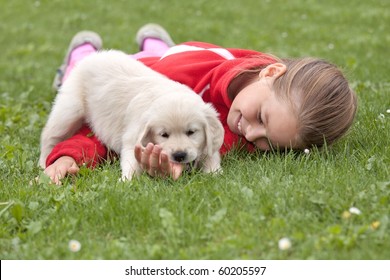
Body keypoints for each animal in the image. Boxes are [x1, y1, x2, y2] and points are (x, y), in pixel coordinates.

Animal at [39, 50, 224, 180]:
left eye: (191, 132)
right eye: (164, 134)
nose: (179, 155)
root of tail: (92, 57)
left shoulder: (209, 144)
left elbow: (211, 158)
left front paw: (214, 175)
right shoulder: (132, 138)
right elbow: (131, 162)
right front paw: (126, 182)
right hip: (68, 111)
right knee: (49, 138)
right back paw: (42, 165)